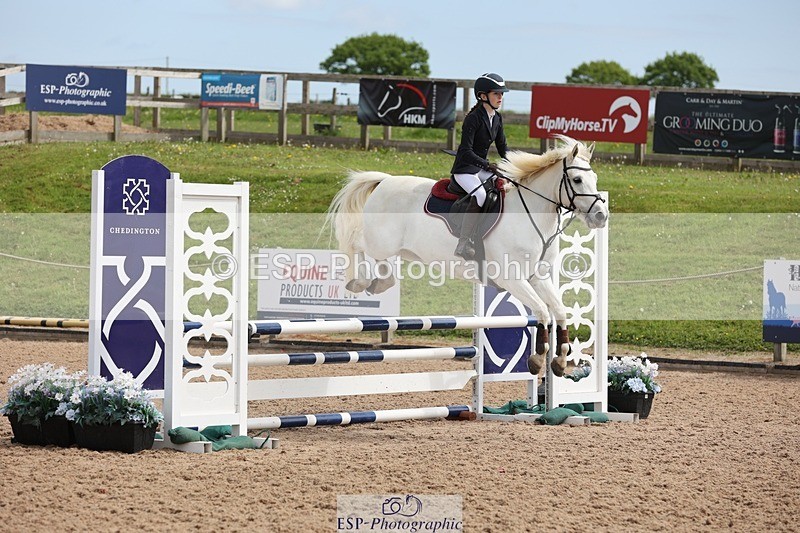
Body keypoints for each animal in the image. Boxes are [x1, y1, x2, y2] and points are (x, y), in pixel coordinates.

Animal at [326, 135, 608, 376]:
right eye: (577, 180)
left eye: (595, 177)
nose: (601, 216)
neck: (531, 214)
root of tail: (384, 181)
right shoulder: (512, 279)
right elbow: (542, 311)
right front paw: (538, 360)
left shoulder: (538, 277)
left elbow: (559, 311)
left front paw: (560, 360)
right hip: (379, 242)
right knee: (356, 244)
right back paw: (359, 281)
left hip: (394, 249)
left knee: (382, 265)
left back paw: (379, 282)